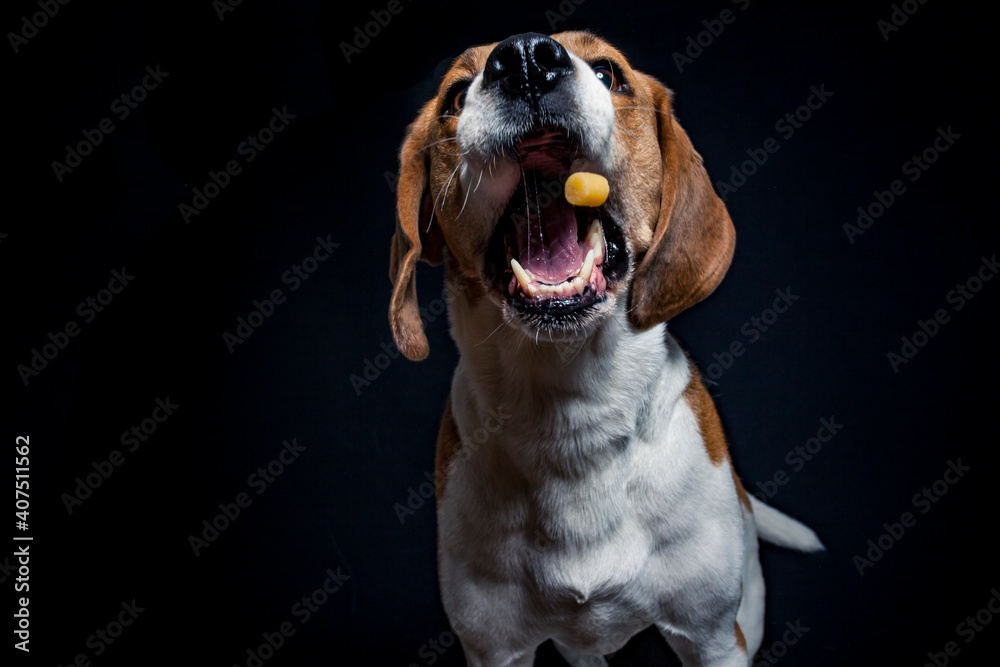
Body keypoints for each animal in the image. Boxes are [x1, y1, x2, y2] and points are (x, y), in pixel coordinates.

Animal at [386, 31, 816, 667]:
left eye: (609, 73)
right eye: (456, 96)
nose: (525, 58)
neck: (572, 414)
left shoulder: (713, 638)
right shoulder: (495, 649)